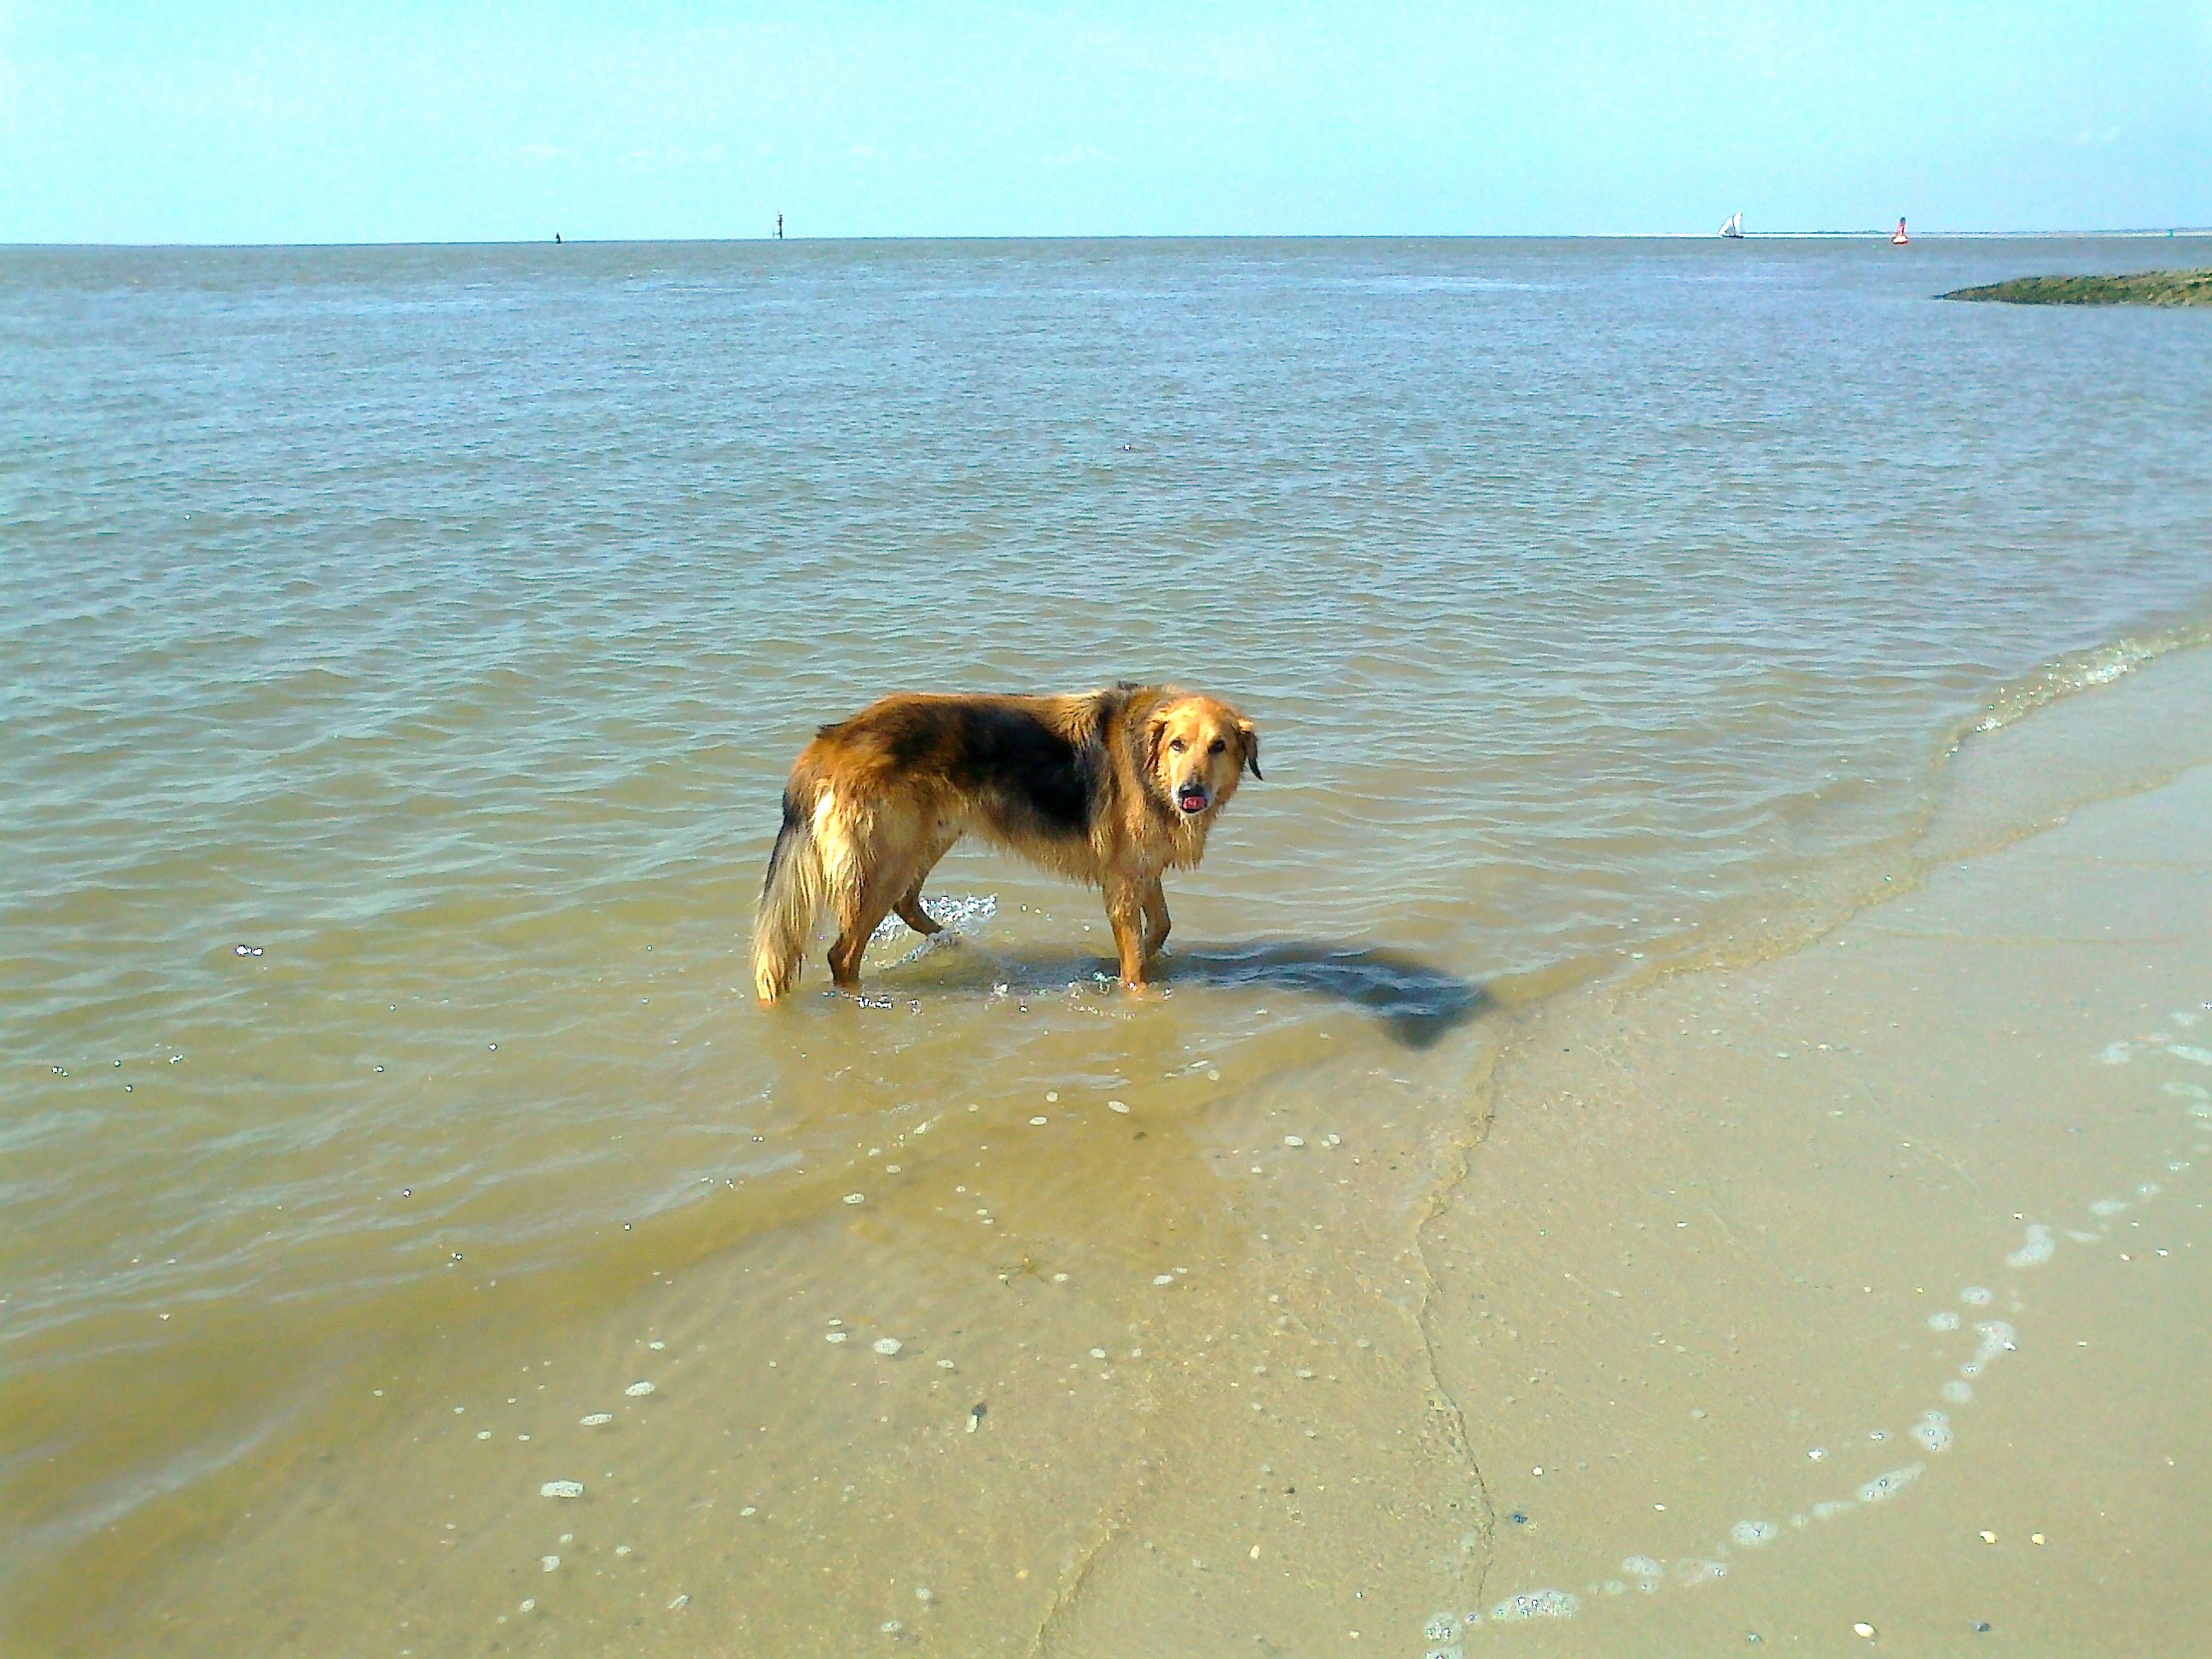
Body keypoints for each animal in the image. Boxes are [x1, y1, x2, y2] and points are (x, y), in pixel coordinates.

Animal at [752, 677, 1256, 999]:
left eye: (1218, 747)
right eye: (1177, 745)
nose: (1190, 794)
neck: (1147, 761)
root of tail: (833, 737)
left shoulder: (1142, 870)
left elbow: (1162, 926)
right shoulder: (1123, 881)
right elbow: (1135, 960)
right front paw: (1137, 988)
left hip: (928, 839)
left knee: (906, 903)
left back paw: (949, 941)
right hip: (888, 858)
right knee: (843, 953)